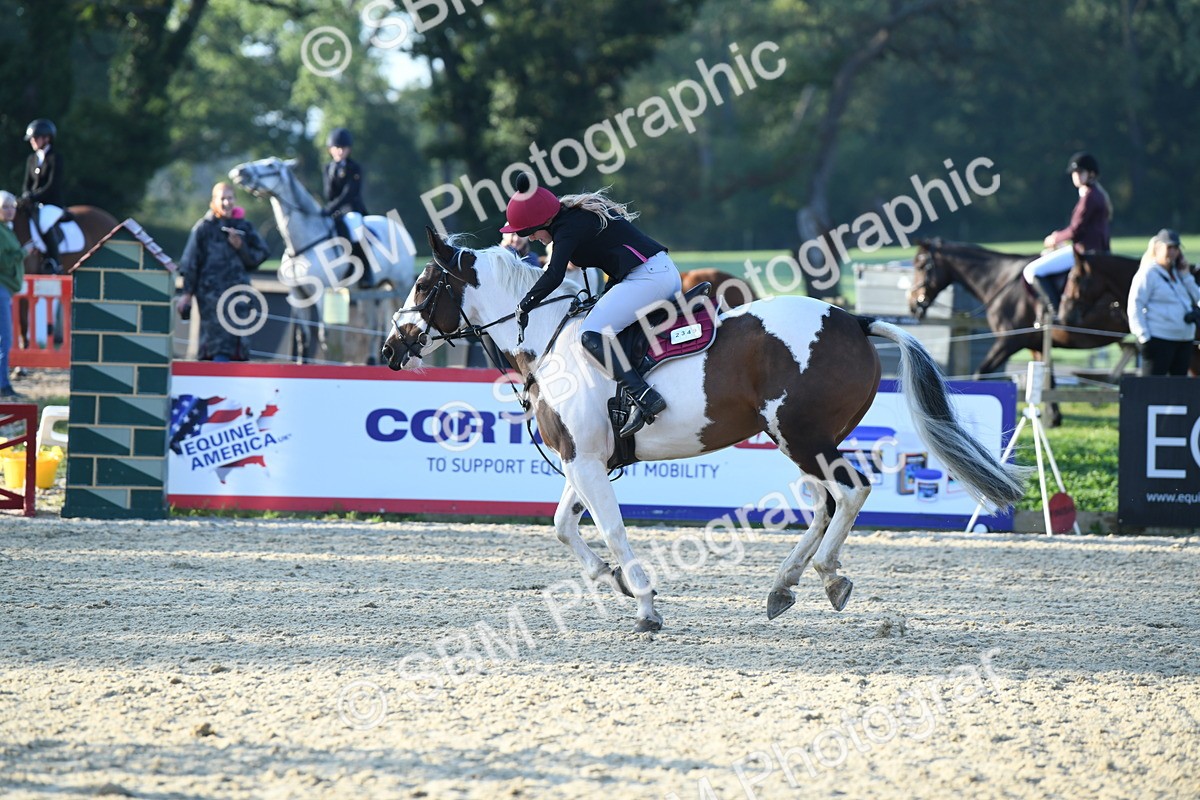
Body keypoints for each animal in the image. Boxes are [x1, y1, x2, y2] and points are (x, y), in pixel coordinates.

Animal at [229, 157, 417, 363]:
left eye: (271, 165)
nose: (239, 172)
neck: (302, 243)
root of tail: (400, 230)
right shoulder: (298, 295)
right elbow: (303, 336)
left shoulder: (321, 294)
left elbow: (323, 335)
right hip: (371, 291)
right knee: (373, 326)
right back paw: (372, 361)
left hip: (400, 287)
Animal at [381, 229, 1026, 633]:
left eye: (423, 286)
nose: (389, 348)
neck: (550, 338)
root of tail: (854, 320)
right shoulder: (582, 460)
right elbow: (564, 524)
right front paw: (610, 580)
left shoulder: (586, 463)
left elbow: (611, 530)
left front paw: (643, 604)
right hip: (802, 443)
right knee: (824, 503)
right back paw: (783, 585)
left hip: (803, 437)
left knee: (850, 492)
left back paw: (826, 576)